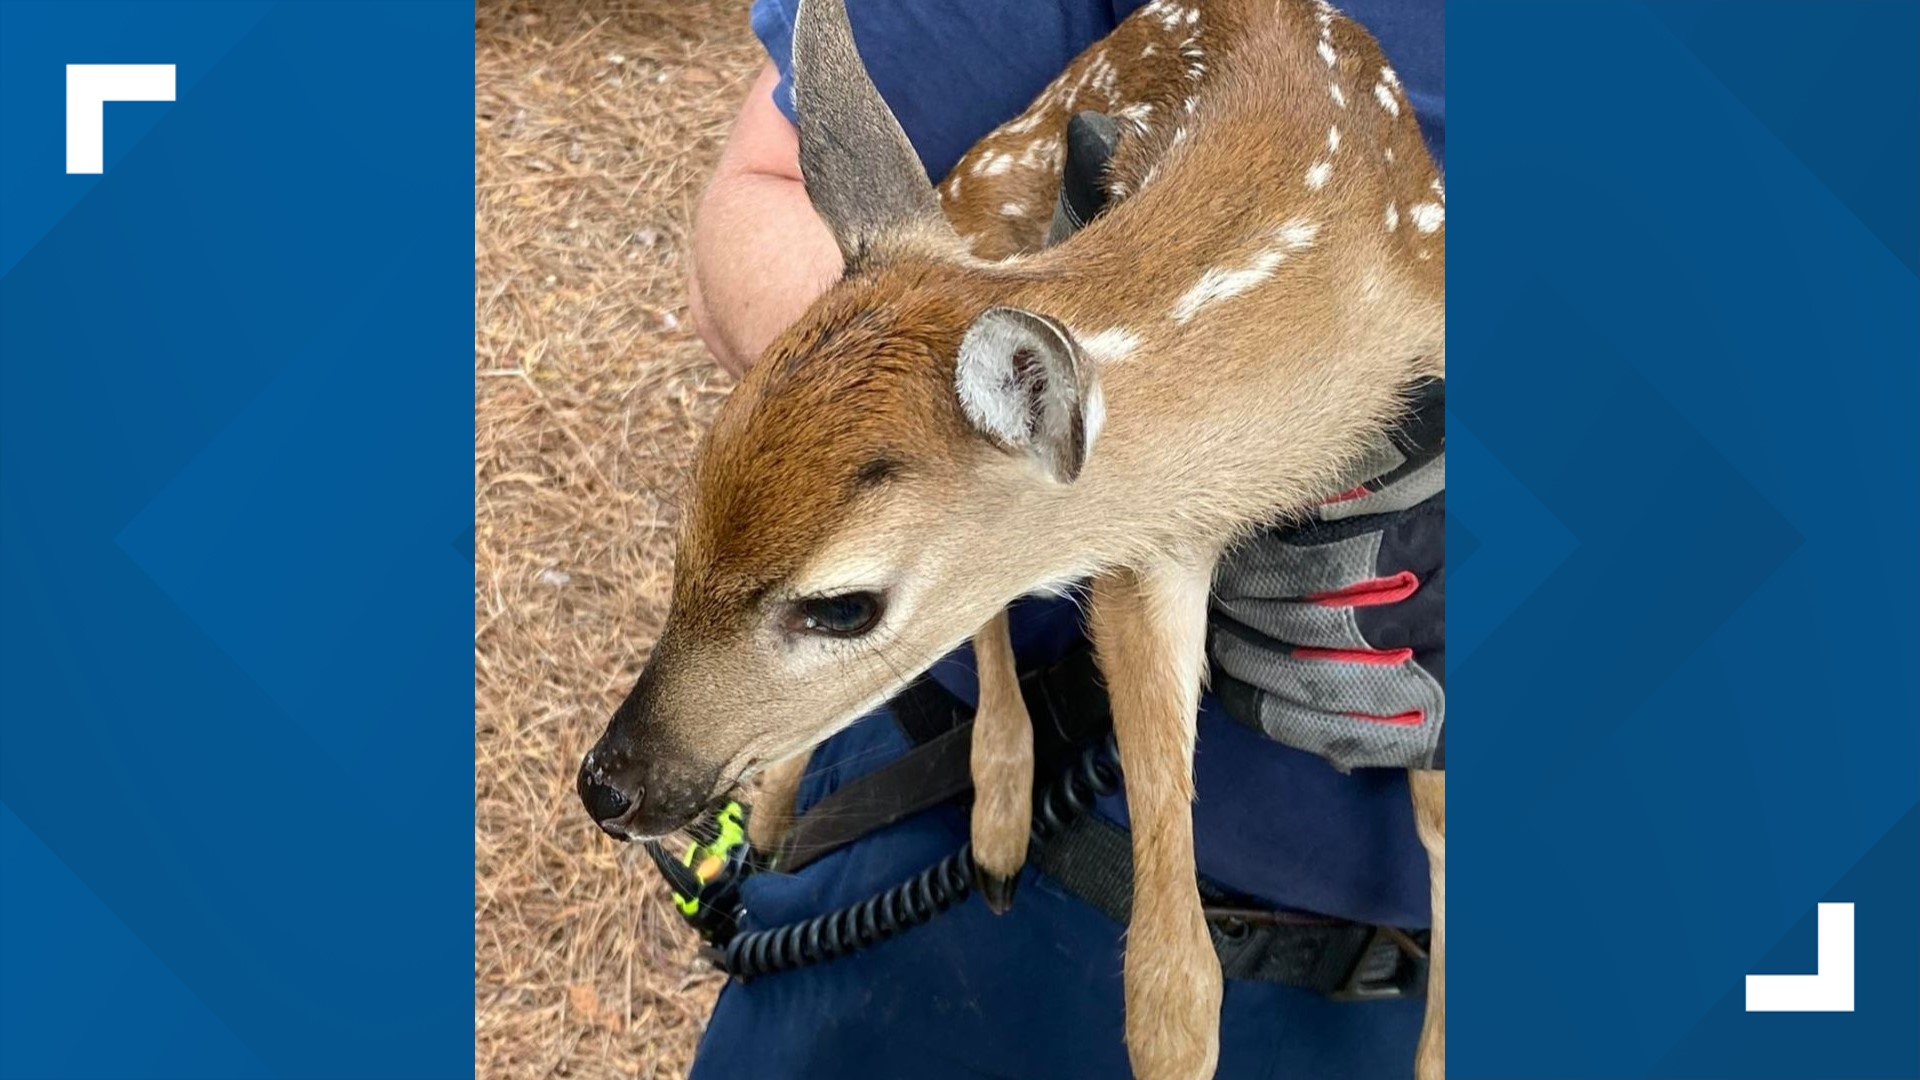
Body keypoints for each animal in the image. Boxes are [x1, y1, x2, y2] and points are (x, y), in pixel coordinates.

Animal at [577, 0, 1446, 1076]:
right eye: (690, 494)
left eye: (842, 606)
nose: (606, 784)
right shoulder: (1143, 554)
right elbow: (1173, 987)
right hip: (983, 192)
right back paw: (966, 823)